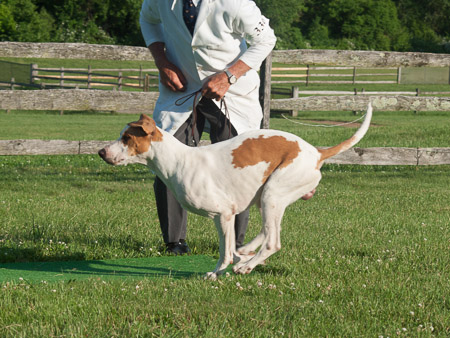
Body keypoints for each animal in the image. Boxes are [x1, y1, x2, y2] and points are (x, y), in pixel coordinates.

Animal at [98, 103, 372, 280]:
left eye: (126, 138)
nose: (101, 152)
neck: (179, 160)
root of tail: (316, 152)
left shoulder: (224, 214)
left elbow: (225, 253)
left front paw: (219, 271)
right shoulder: (226, 218)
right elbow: (229, 249)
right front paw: (234, 260)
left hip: (273, 194)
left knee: (273, 242)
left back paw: (246, 266)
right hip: (269, 199)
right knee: (266, 232)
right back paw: (247, 253)